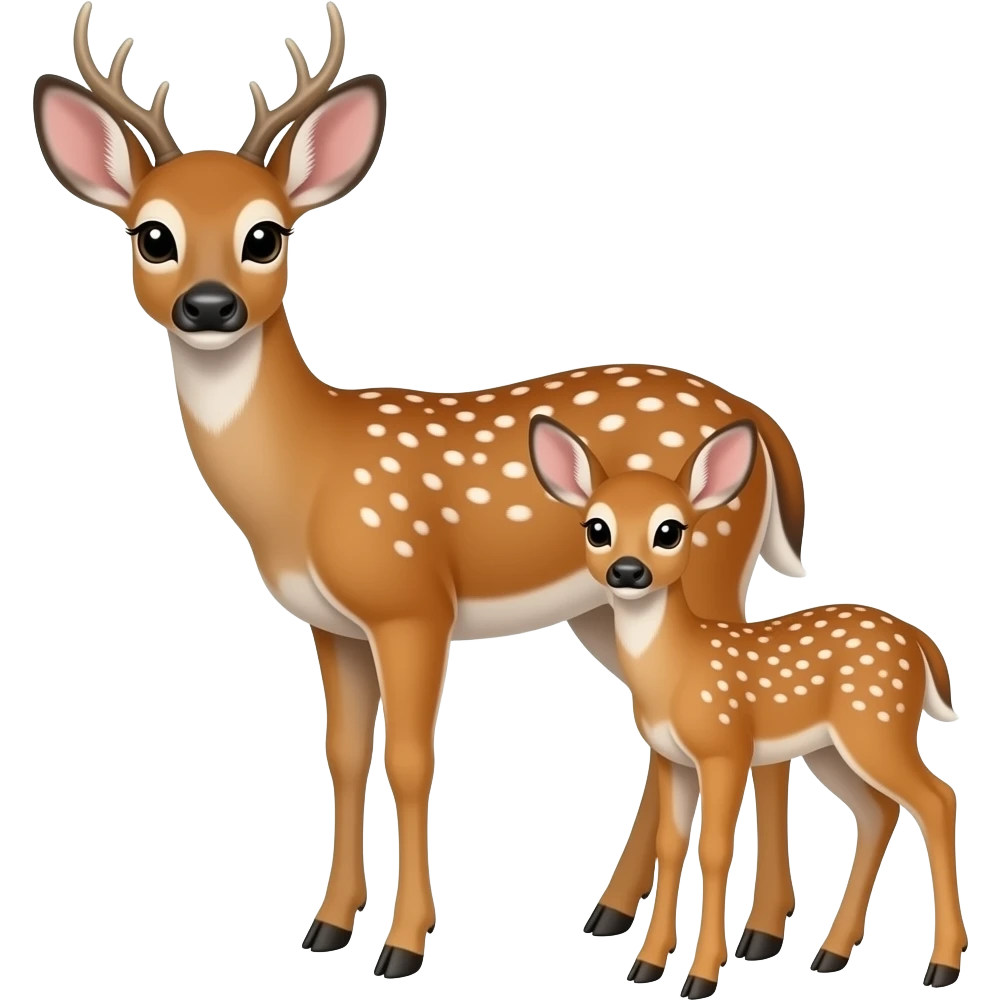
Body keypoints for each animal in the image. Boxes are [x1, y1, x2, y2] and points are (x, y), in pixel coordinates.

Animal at [31, 3, 820, 978]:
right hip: (606, 603)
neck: (307, 475)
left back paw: (756, 931)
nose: (209, 305)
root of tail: (761, 423)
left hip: (707, 565)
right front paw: (328, 924)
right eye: (152, 234)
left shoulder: (411, 599)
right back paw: (613, 912)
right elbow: (340, 754)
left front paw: (403, 944)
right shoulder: (331, 622)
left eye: (265, 233)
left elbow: (408, 759)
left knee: (752, 724)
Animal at [528, 413, 965, 995]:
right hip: (831, 748)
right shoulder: (670, 757)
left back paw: (941, 965)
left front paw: (701, 976)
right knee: (879, 811)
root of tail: (918, 642)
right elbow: (673, 845)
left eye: (670, 529)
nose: (628, 570)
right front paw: (648, 964)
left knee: (937, 800)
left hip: (878, 724)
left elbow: (716, 849)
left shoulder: (726, 747)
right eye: (596, 527)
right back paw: (832, 952)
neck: (678, 668)